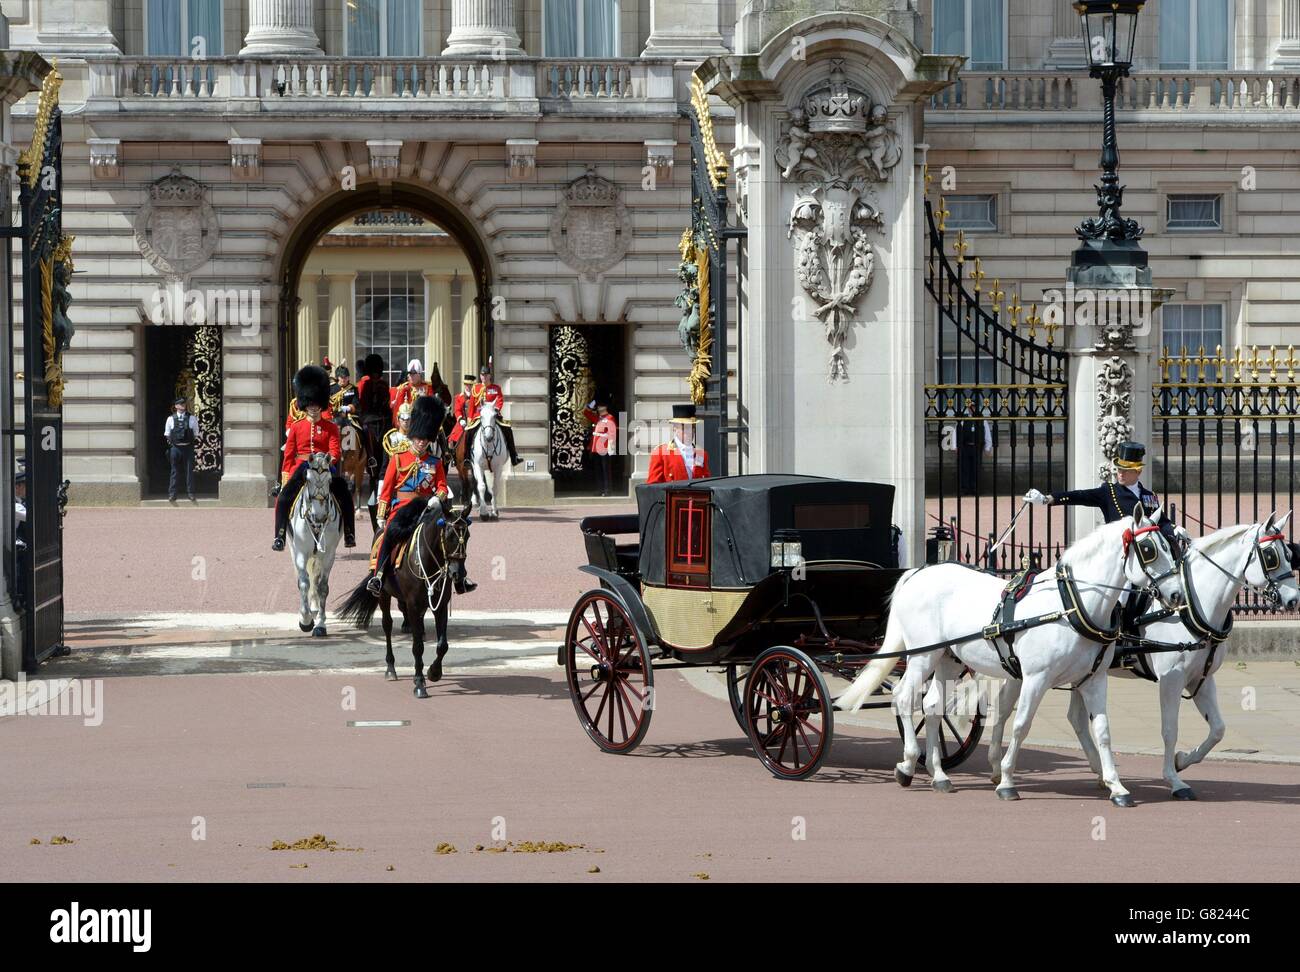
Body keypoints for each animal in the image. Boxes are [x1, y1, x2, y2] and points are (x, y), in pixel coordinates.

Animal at [288, 454, 343, 636]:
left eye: (330, 480)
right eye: (308, 479)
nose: (318, 516)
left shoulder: (328, 555)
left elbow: (322, 587)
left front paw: (320, 624)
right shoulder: (300, 553)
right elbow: (304, 583)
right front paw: (305, 620)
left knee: (316, 580)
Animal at [335, 496, 473, 696]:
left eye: (467, 536)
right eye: (448, 536)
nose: (458, 574)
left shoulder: (440, 604)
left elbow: (442, 645)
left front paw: (434, 672)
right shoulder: (413, 604)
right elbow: (417, 646)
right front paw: (420, 683)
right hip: (384, 595)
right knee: (387, 626)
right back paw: (390, 668)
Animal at [837, 509, 1185, 805]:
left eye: (1171, 547)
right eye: (1149, 548)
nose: (1177, 595)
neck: (1071, 605)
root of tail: (918, 572)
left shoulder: (1093, 680)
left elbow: (1102, 731)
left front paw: (1116, 786)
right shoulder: (1035, 678)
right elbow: (1021, 725)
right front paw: (1006, 781)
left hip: (948, 659)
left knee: (933, 707)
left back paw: (939, 775)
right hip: (923, 655)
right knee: (903, 697)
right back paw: (908, 764)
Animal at [993, 511, 1289, 800]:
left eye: (1289, 552)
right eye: (1271, 556)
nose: (1293, 599)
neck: (1191, 607)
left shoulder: (1201, 678)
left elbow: (1218, 729)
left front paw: (1183, 760)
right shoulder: (1172, 678)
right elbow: (1170, 730)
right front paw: (1174, 780)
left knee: (1063, 716)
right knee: (1009, 708)